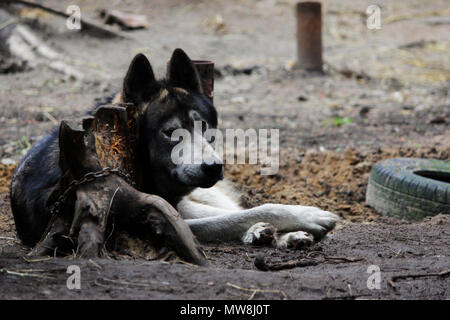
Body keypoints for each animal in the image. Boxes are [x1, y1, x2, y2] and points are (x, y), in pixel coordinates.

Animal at [10, 48, 338, 251]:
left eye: (204, 127)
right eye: (170, 133)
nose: (214, 167)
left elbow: (246, 212)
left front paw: (298, 221)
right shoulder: (168, 222)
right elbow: (240, 217)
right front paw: (307, 216)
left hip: (198, 200)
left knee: (236, 209)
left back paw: (280, 235)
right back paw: (263, 232)